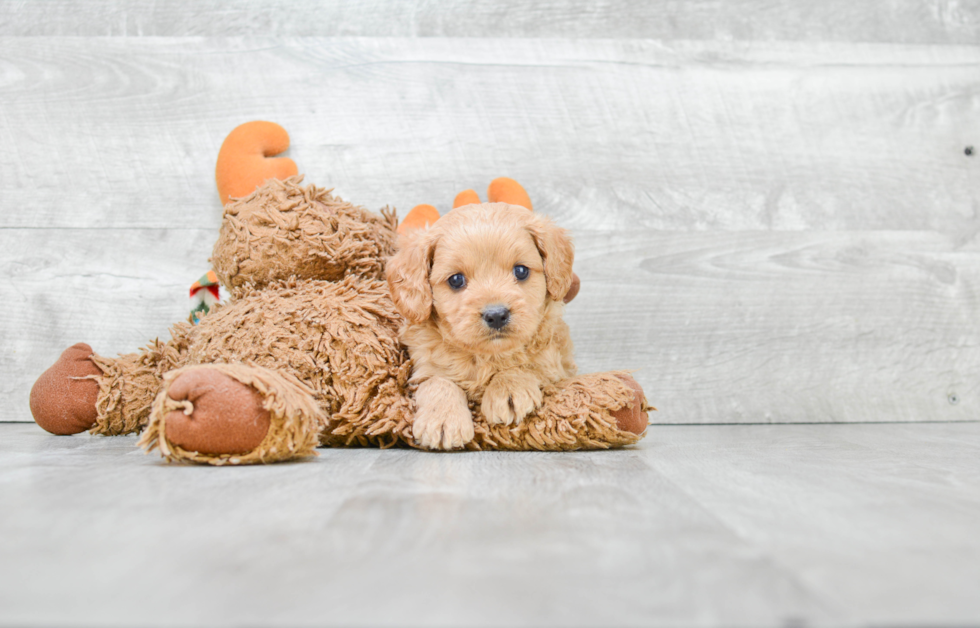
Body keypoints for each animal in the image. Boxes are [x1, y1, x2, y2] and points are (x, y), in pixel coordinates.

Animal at [386, 204, 580, 448]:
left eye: (521, 271)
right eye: (456, 280)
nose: (496, 315)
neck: (487, 355)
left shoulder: (556, 366)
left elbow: (527, 366)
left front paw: (508, 388)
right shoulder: (423, 367)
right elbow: (438, 381)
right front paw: (442, 418)